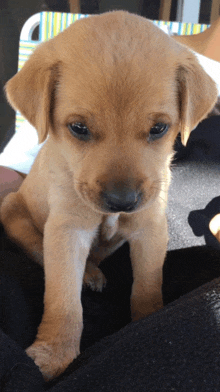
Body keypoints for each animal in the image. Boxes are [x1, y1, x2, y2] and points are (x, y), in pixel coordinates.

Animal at [0, 11, 218, 380]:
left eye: (159, 129)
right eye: (78, 128)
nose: (122, 202)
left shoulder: (150, 227)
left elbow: (147, 284)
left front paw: (147, 321)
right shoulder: (67, 230)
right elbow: (63, 298)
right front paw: (54, 353)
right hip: (13, 212)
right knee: (39, 251)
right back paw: (88, 274)